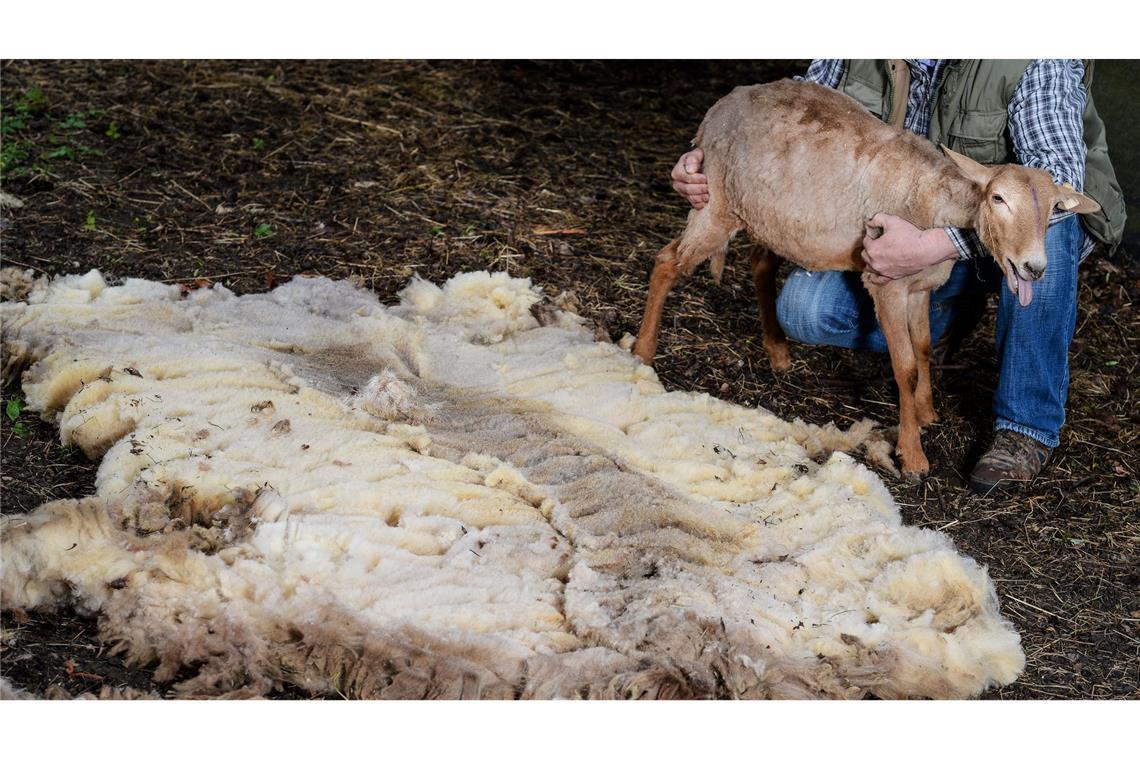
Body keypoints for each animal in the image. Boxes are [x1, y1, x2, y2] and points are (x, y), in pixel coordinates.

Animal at [638, 80, 1098, 478]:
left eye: (1054, 209)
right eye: (998, 198)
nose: (1034, 267)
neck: (936, 200)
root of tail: (715, 112)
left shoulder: (920, 285)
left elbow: (924, 347)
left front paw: (927, 412)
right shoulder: (887, 282)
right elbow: (905, 366)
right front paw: (913, 455)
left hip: (771, 216)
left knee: (759, 263)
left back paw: (778, 353)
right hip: (716, 198)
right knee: (666, 261)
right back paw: (643, 351)